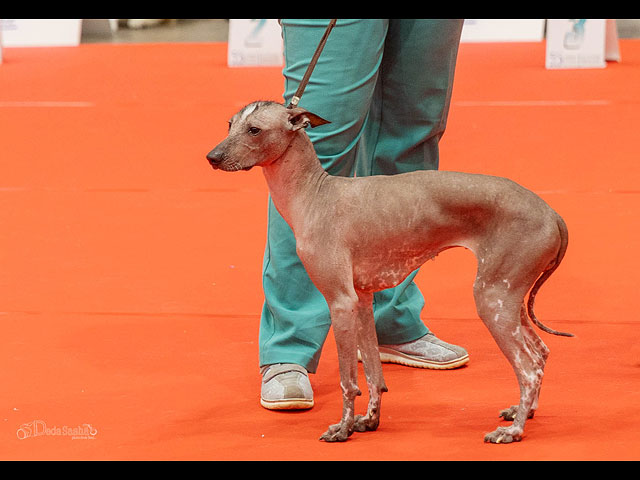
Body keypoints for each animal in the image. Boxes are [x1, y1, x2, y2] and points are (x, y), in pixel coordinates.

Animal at [208, 100, 572, 442]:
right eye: (229, 124)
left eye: (254, 130)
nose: (212, 157)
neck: (315, 195)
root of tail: (552, 213)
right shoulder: (362, 301)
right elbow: (372, 372)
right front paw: (369, 420)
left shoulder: (340, 303)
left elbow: (348, 380)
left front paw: (342, 428)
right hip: (509, 297)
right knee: (540, 353)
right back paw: (524, 413)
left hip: (492, 299)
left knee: (528, 369)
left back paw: (514, 431)